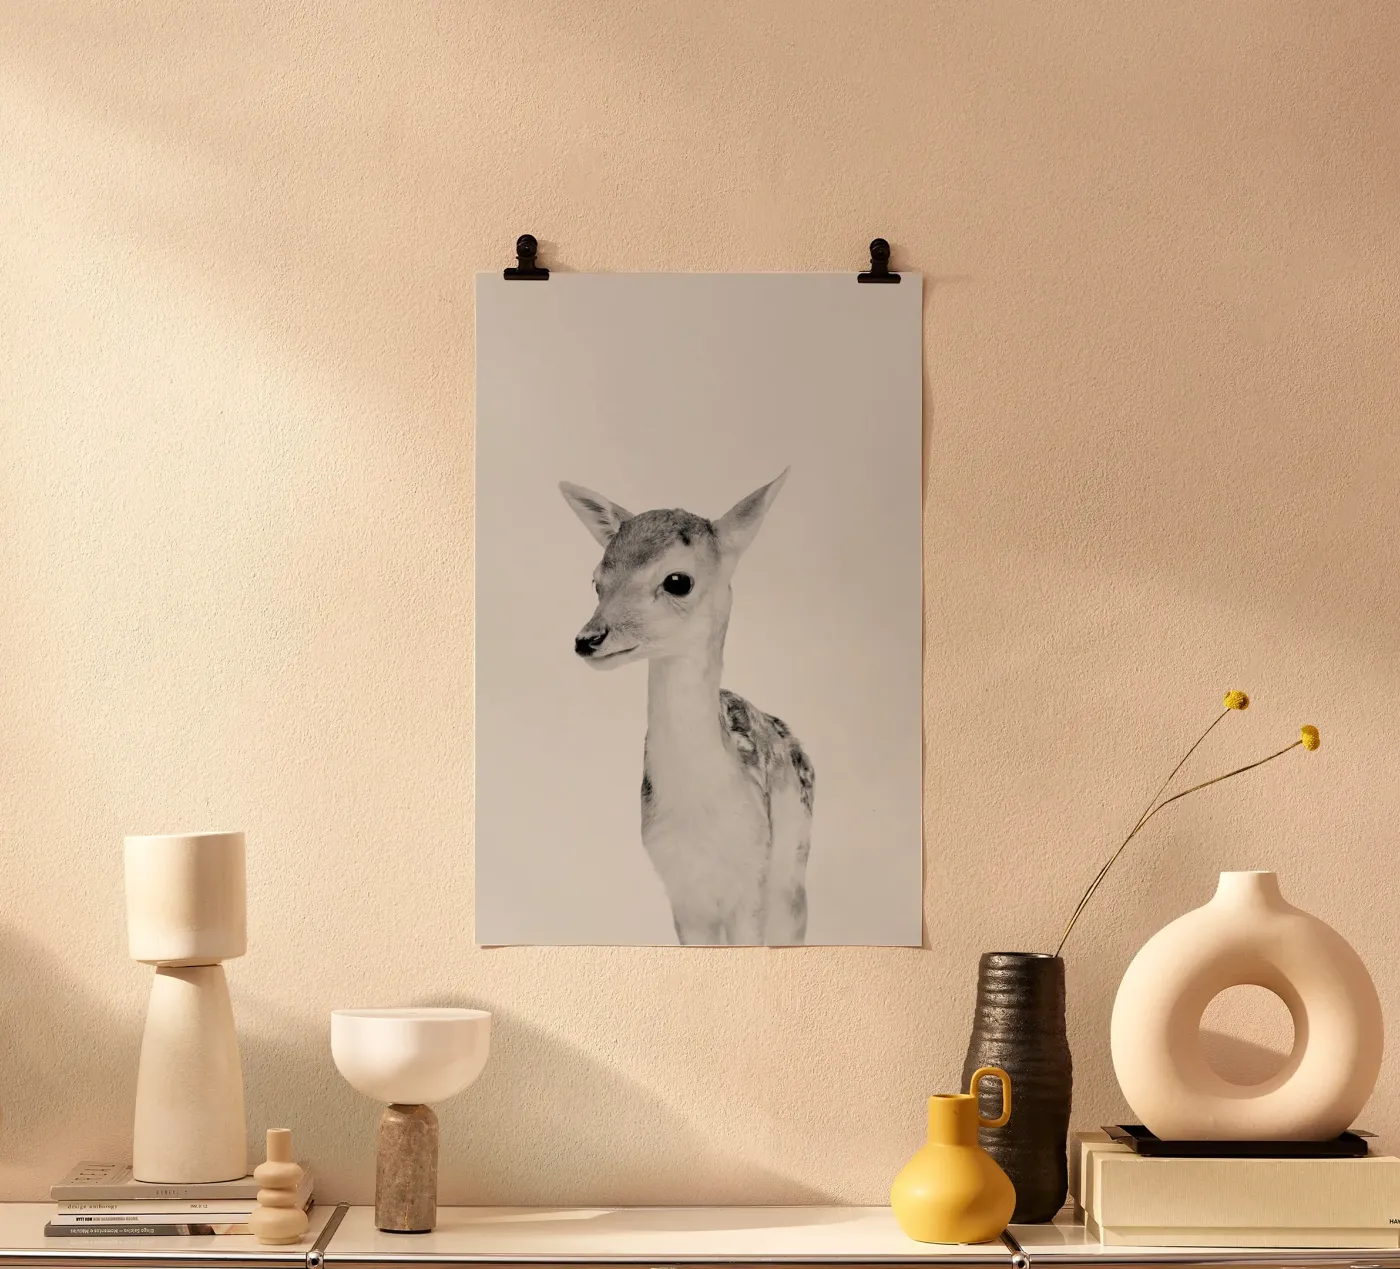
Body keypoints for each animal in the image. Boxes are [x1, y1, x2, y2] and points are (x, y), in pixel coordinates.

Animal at [559, 472, 815, 946]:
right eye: (596, 580)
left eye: (678, 581)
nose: (587, 639)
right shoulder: (681, 892)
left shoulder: (751, 881)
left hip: (793, 863)